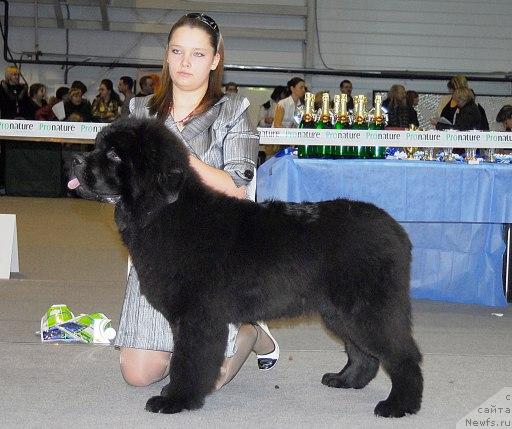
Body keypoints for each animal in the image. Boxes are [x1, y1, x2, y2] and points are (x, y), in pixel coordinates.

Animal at [68, 118, 422, 418]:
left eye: (114, 154)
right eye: (97, 145)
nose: (74, 159)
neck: (165, 212)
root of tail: (397, 231)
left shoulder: (198, 317)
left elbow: (188, 360)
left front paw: (176, 400)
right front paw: (174, 394)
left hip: (368, 308)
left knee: (403, 354)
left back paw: (399, 405)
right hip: (339, 311)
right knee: (364, 354)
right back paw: (345, 380)